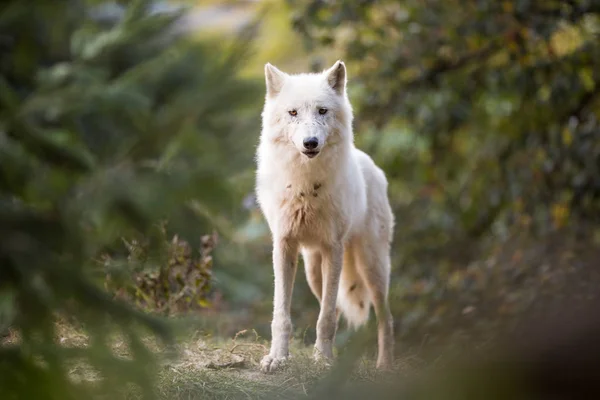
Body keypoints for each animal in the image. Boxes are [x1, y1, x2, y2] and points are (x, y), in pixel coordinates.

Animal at [255, 61, 396, 374]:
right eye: (293, 113)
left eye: (322, 111)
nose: (310, 142)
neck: (306, 186)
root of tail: (373, 166)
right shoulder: (283, 246)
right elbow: (282, 315)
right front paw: (277, 358)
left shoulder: (334, 248)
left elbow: (326, 318)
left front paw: (322, 360)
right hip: (312, 270)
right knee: (335, 307)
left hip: (372, 267)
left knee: (384, 317)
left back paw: (383, 366)